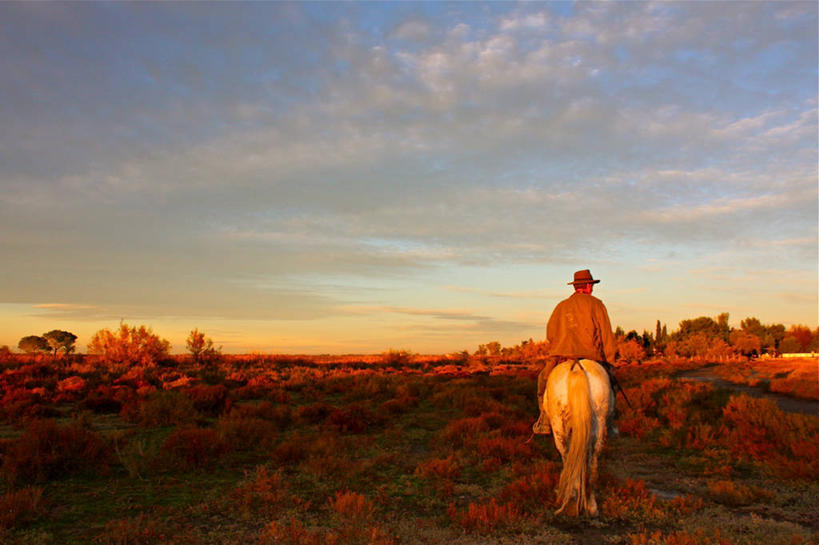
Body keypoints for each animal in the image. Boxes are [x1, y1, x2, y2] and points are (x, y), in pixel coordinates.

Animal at [548, 356, 612, 516]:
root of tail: (577, 367)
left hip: (558, 427)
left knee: (566, 455)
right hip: (598, 422)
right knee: (593, 459)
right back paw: (591, 504)